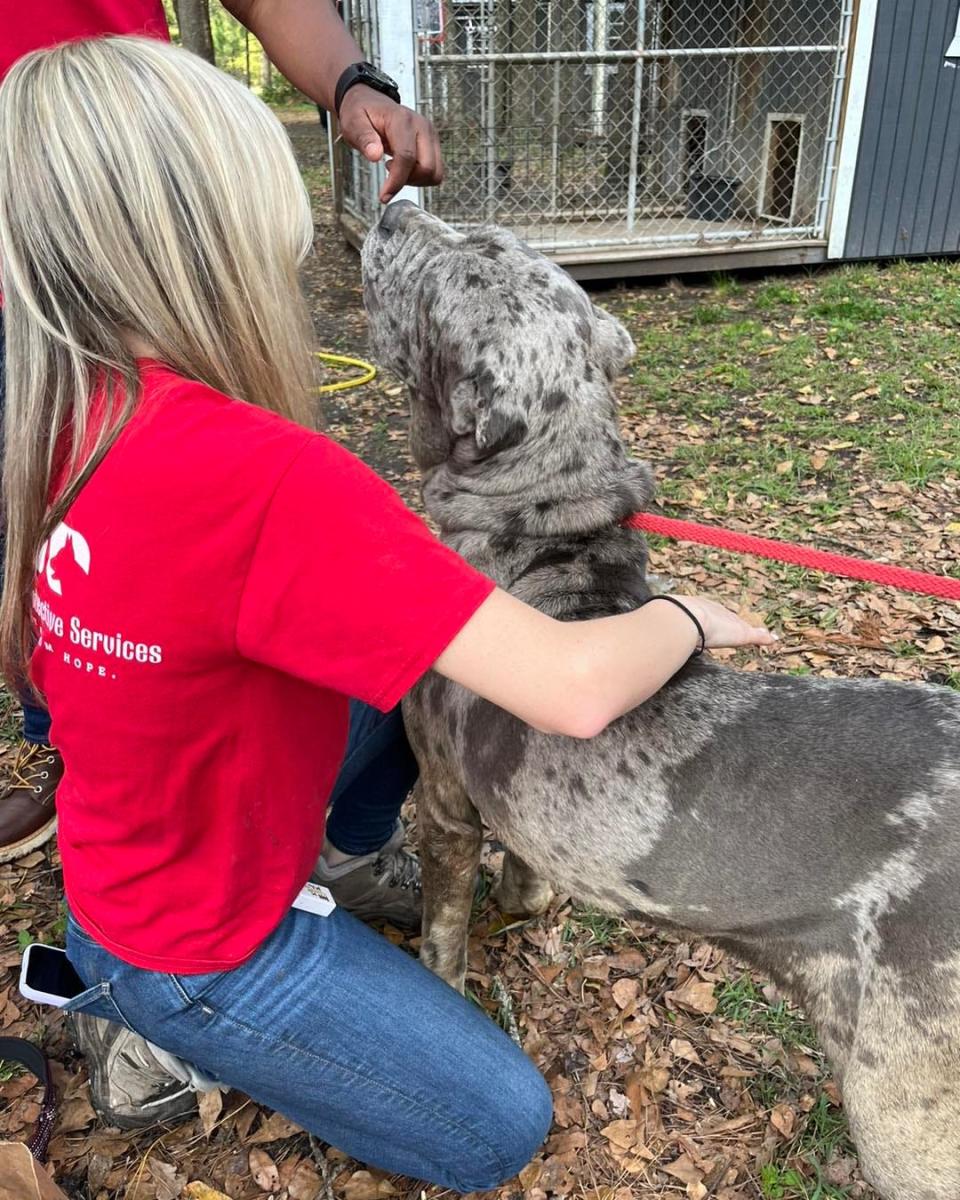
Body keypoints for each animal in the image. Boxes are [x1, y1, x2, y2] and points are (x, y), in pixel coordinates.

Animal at [362, 199, 960, 1200]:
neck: (546, 518)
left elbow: (446, 931)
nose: (395, 205)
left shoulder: (445, 804)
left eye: (449, 269)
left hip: (905, 1123)